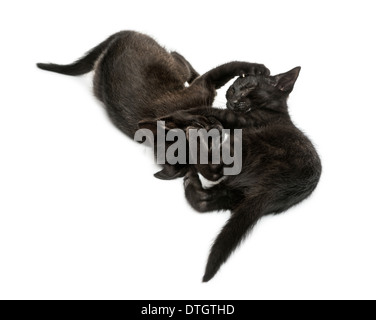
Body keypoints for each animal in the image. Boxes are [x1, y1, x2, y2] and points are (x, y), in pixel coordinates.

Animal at [36, 31, 268, 179]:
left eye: (197, 131)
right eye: (205, 149)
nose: (214, 128)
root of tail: (116, 40)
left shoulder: (206, 83)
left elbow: (232, 66)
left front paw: (258, 69)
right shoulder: (206, 87)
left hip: (172, 65)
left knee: (179, 58)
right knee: (177, 58)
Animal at [157, 67, 322, 280]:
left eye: (250, 88)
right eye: (233, 89)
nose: (233, 100)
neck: (273, 109)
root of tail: (278, 186)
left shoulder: (241, 119)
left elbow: (213, 110)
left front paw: (178, 114)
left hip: (245, 143)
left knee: (214, 170)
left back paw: (193, 135)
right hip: (237, 193)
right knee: (204, 199)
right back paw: (190, 178)